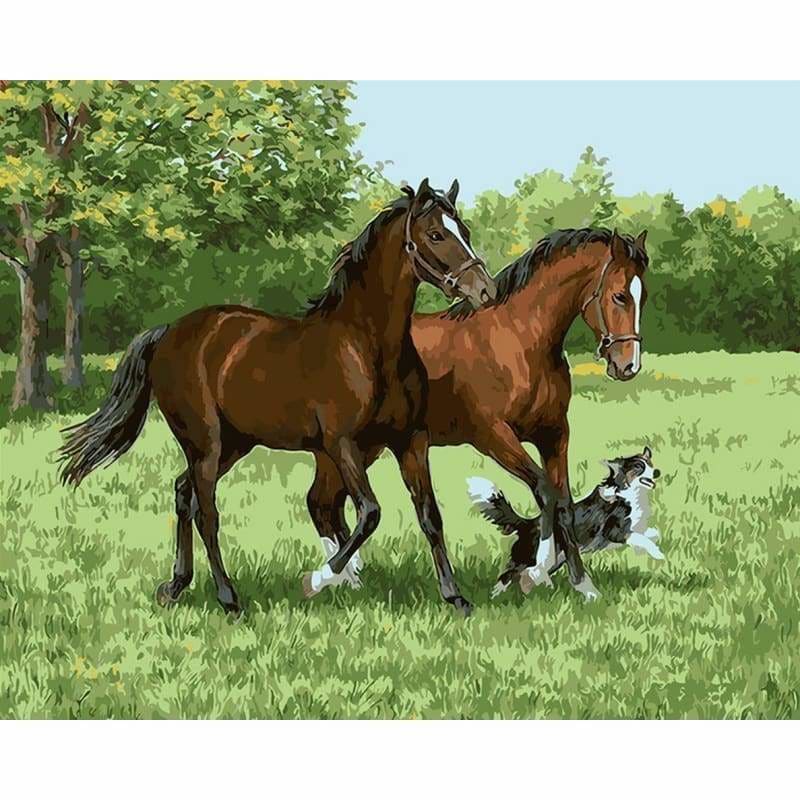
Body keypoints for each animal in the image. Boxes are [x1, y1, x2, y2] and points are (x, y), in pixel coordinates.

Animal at [58, 178, 497, 617]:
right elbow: (369, 513)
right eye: (436, 234)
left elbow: (429, 516)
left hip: (234, 444)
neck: (366, 346)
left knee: (184, 493)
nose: (485, 290)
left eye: (464, 231)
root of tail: (168, 332)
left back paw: (176, 586)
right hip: (206, 443)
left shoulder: (410, 441)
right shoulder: (342, 444)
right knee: (206, 511)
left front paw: (455, 597)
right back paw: (228, 599)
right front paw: (318, 580)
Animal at [307, 228, 649, 601]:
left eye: (642, 297)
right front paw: (537, 569)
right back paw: (338, 579)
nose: (628, 366)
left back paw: (348, 580)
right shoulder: (494, 437)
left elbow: (563, 504)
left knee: (325, 503)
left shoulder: (554, 434)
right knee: (322, 503)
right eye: (619, 296)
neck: (518, 339)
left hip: (362, 447)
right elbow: (544, 492)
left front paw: (584, 586)